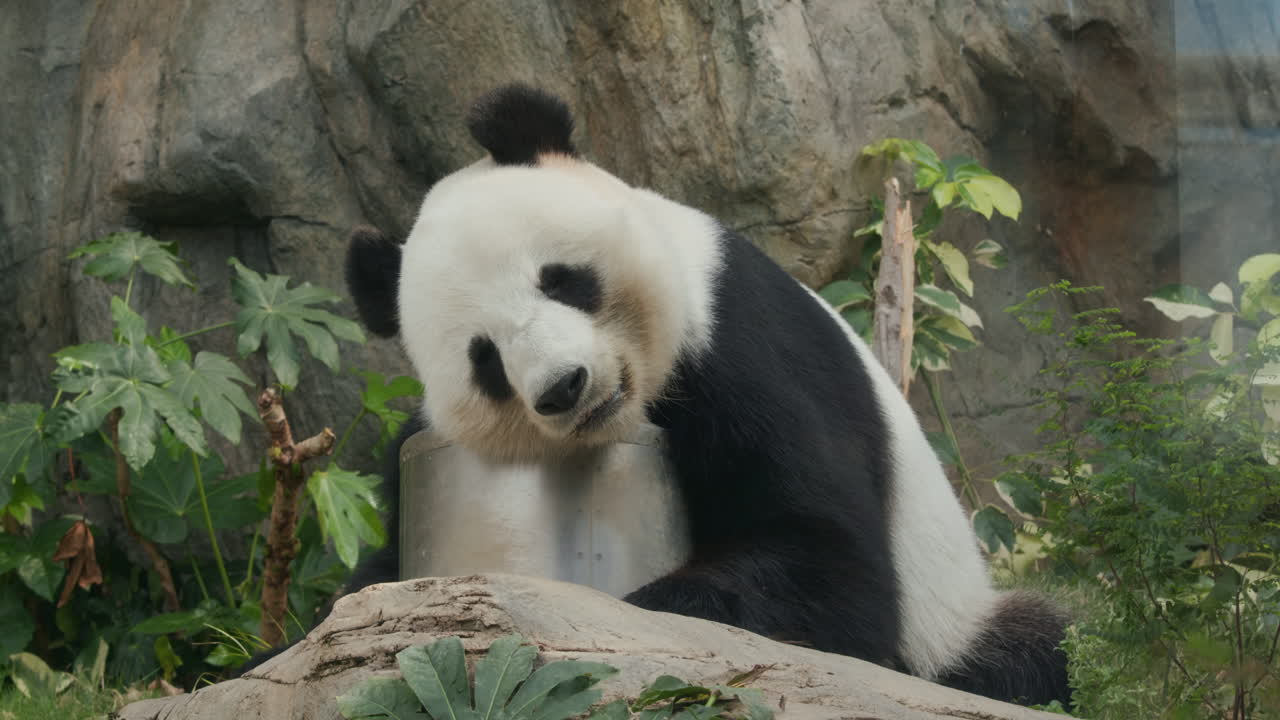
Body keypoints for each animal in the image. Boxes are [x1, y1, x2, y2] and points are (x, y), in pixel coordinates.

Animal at [339, 84, 1071, 707]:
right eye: (485, 359)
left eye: (561, 280)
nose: (565, 387)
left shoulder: (742, 339)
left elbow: (833, 565)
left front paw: (647, 607)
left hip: (954, 627)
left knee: (1039, 650)